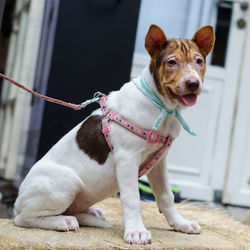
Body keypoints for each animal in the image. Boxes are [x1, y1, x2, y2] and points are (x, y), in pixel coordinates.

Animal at [13, 24, 215, 244]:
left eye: (199, 61)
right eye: (172, 62)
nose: (193, 83)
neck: (161, 105)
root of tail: (17, 201)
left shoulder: (159, 162)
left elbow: (166, 196)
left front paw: (180, 224)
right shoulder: (127, 157)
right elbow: (132, 198)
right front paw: (136, 231)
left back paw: (89, 214)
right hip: (66, 184)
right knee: (24, 219)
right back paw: (62, 222)